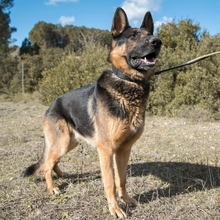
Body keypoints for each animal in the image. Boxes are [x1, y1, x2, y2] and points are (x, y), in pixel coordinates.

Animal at [24, 7, 162, 218]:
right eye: (133, 36)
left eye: (150, 34)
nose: (158, 41)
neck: (129, 83)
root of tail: (52, 104)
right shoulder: (106, 151)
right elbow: (110, 182)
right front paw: (115, 208)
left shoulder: (124, 150)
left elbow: (121, 179)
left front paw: (126, 200)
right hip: (62, 143)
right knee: (47, 165)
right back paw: (52, 187)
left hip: (69, 143)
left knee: (51, 161)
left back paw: (61, 174)